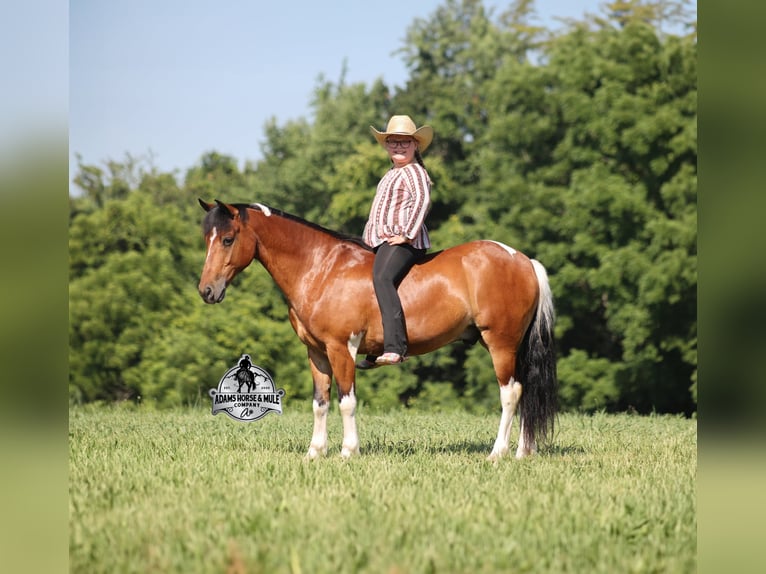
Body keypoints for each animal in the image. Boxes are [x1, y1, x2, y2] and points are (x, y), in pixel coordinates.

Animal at [197, 199, 557, 460]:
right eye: (207, 240)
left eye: (228, 239)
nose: (206, 291)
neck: (321, 268)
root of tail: (523, 260)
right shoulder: (316, 353)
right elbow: (320, 402)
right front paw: (314, 452)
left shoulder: (341, 348)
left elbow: (346, 401)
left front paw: (348, 451)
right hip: (510, 346)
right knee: (525, 391)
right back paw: (524, 451)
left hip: (500, 343)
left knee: (510, 393)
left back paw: (498, 453)